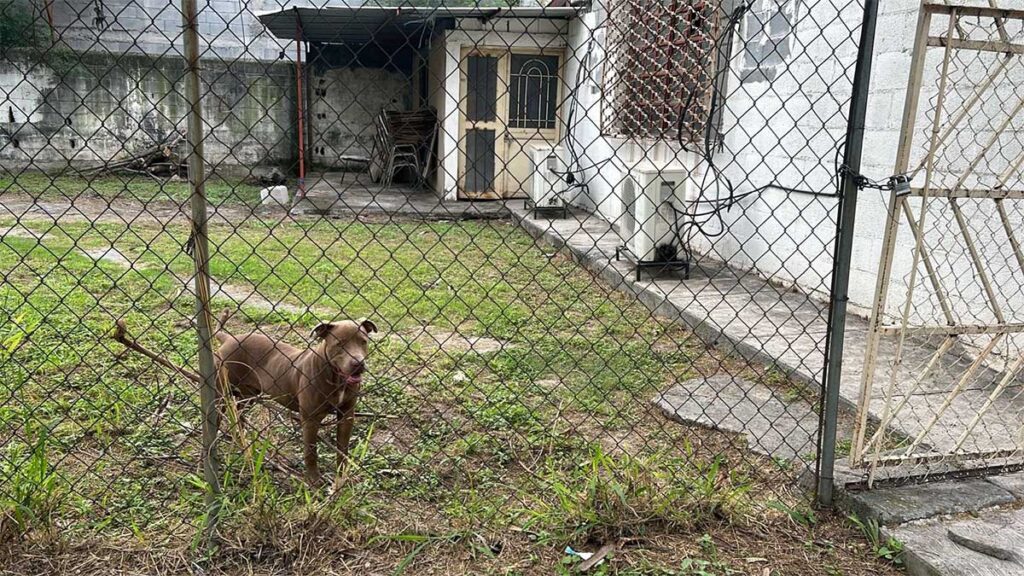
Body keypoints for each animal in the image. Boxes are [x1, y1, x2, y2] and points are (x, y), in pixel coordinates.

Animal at [214, 309, 378, 483]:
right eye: (340, 343)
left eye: (363, 341)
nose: (358, 363)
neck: (336, 378)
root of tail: (229, 338)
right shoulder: (310, 419)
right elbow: (311, 451)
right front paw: (314, 480)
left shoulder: (347, 415)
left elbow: (343, 448)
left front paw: (342, 476)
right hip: (220, 394)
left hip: (249, 395)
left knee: (238, 416)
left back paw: (243, 442)